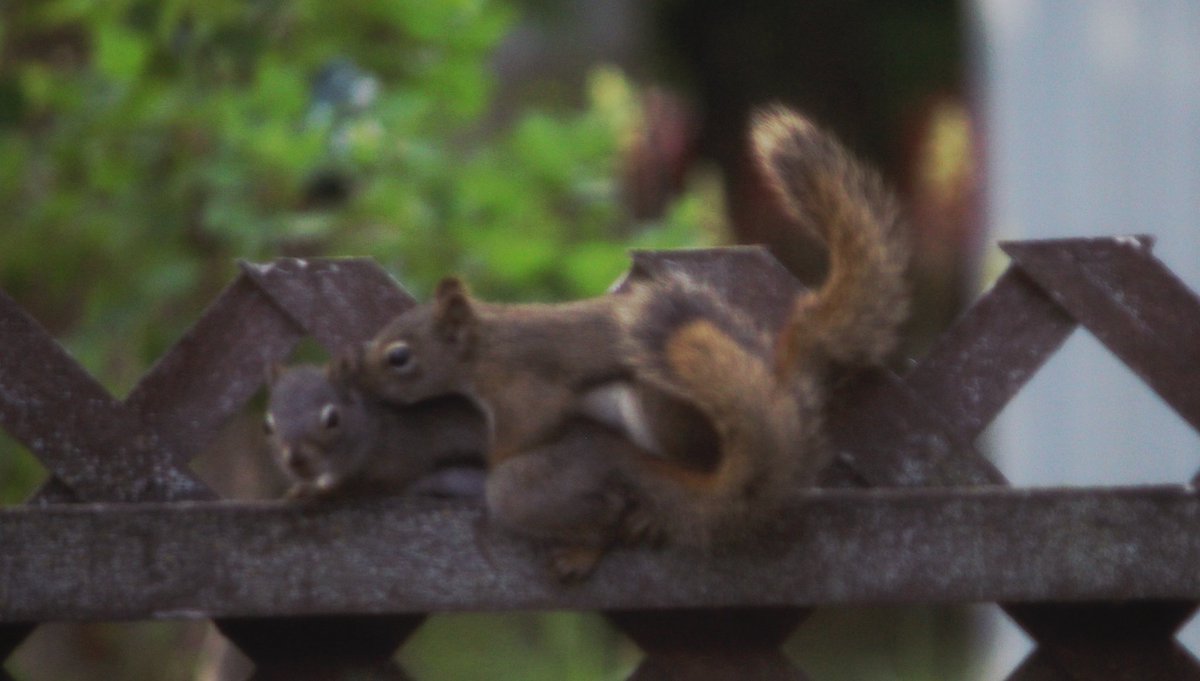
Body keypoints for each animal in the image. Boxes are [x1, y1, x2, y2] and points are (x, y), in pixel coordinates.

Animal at [264, 363, 488, 499]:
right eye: (267, 426)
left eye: (333, 419)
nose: (296, 459)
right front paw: (303, 488)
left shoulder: (401, 454)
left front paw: (326, 486)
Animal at [343, 105, 909, 574]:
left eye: (399, 357)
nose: (358, 380)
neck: (485, 348)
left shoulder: (526, 389)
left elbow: (525, 435)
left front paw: (497, 464)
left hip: (655, 411)